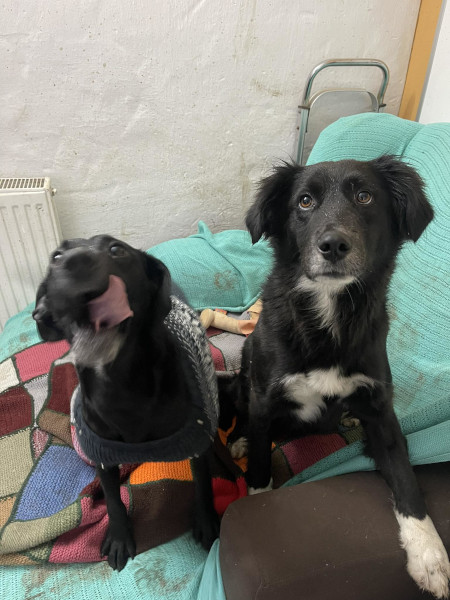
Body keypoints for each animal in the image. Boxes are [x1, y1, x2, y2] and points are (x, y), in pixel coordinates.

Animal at [32, 235, 219, 570]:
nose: (73, 262)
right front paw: (120, 536)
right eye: (56, 255)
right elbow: (113, 500)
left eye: (116, 250)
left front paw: (207, 521)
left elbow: (203, 484)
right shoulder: (102, 453)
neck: (120, 383)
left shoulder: (197, 438)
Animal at [230, 156, 450, 598]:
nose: (332, 245)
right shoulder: (264, 396)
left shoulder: (381, 409)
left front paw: (429, 556)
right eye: (305, 201)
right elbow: (261, 460)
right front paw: (259, 493)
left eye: (364, 196)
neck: (330, 316)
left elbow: (405, 477)